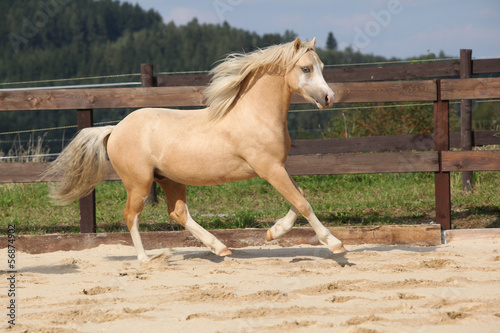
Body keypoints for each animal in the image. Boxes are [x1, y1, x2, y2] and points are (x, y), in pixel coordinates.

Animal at [45, 37, 346, 262]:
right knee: (131, 215)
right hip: (138, 182)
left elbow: (300, 195)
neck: (254, 114)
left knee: (178, 213)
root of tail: (115, 129)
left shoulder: (278, 166)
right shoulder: (269, 168)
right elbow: (302, 203)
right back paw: (145, 260)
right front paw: (335, 244)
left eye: (321, 66)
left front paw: (273, 233)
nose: (329, 97)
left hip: (169, 180)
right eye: (306, 68)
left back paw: (221, 248)